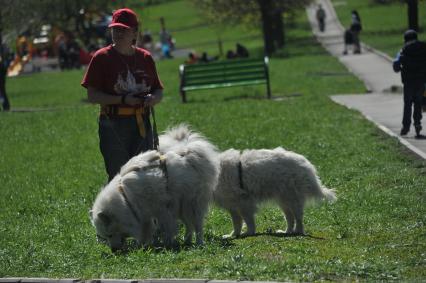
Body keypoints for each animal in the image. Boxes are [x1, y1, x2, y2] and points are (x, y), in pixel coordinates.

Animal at [88, 125, 218, 252]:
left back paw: (199, 243)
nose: (113, 250)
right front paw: (146, 245)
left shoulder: (161, 209)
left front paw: (166, 244)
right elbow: (148, 230)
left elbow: (164, 228)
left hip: (191, 203)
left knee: (197, 225)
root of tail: (188, 153)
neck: (125, 197)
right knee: (189, 225)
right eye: (105, 237)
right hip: (182, 206)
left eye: (109, 235)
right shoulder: (144, 214)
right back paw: (187, 241)